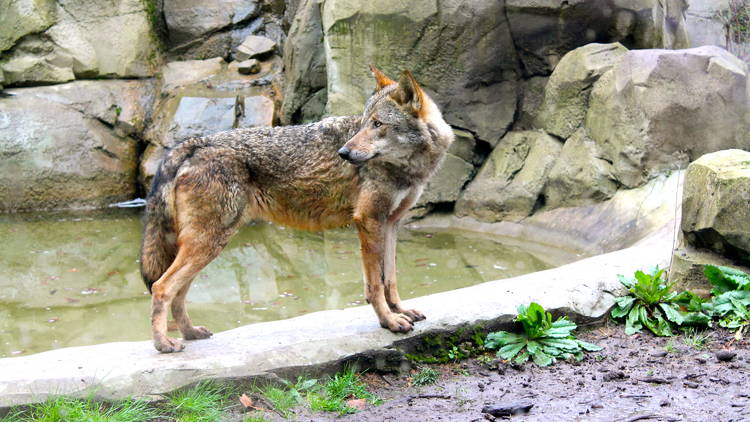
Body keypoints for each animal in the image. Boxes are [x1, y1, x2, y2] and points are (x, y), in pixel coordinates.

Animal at [142, 67, 458, 352]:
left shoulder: (391, 222)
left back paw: (190, 334)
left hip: (204, 247)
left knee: (177, 293)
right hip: (209, 244)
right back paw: (164, 344)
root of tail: (194, 143)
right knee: (162, 287)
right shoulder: (369, 221)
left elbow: (390, 279)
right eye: (365, 123)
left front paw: (400, 311)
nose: (344, 153)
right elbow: (374, 285)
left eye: (378, 124)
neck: (410, 167)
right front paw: (389, 322)